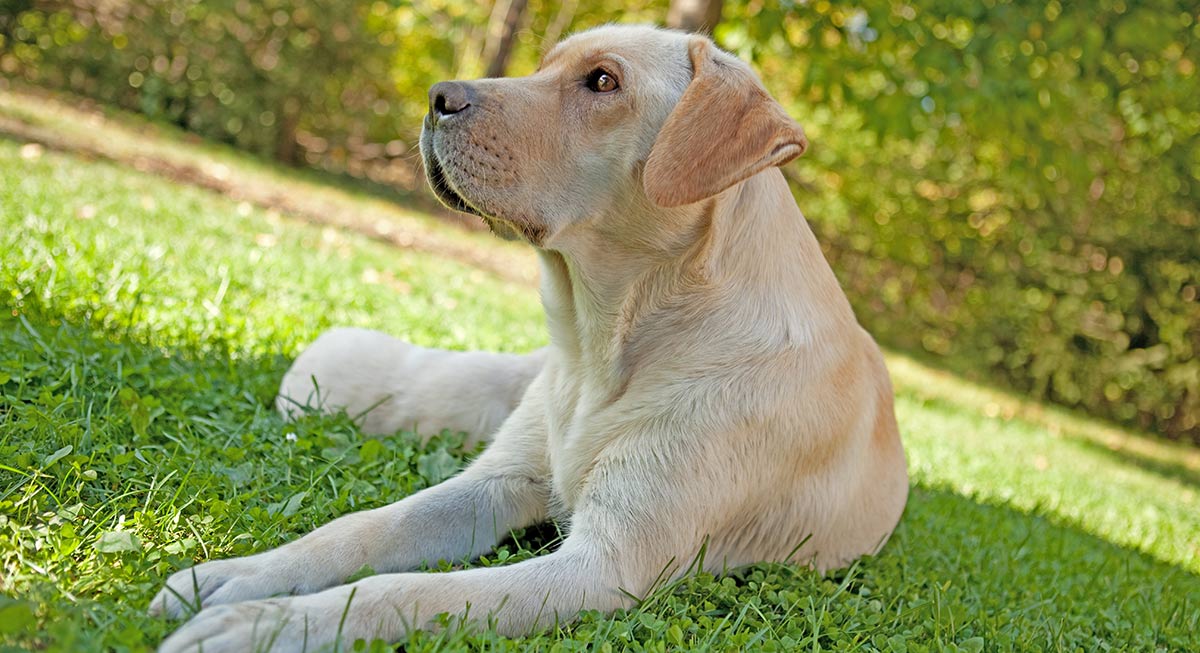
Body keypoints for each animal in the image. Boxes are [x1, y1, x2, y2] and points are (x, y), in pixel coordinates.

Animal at [157, 22, 907, 648]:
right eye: (544, 65)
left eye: (603, 81)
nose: (437, 97)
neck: (605, 343)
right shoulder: (497, 482)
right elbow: (362, 527)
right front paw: (239, 573)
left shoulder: (602, 566)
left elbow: (401, 589)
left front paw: (267, 624)